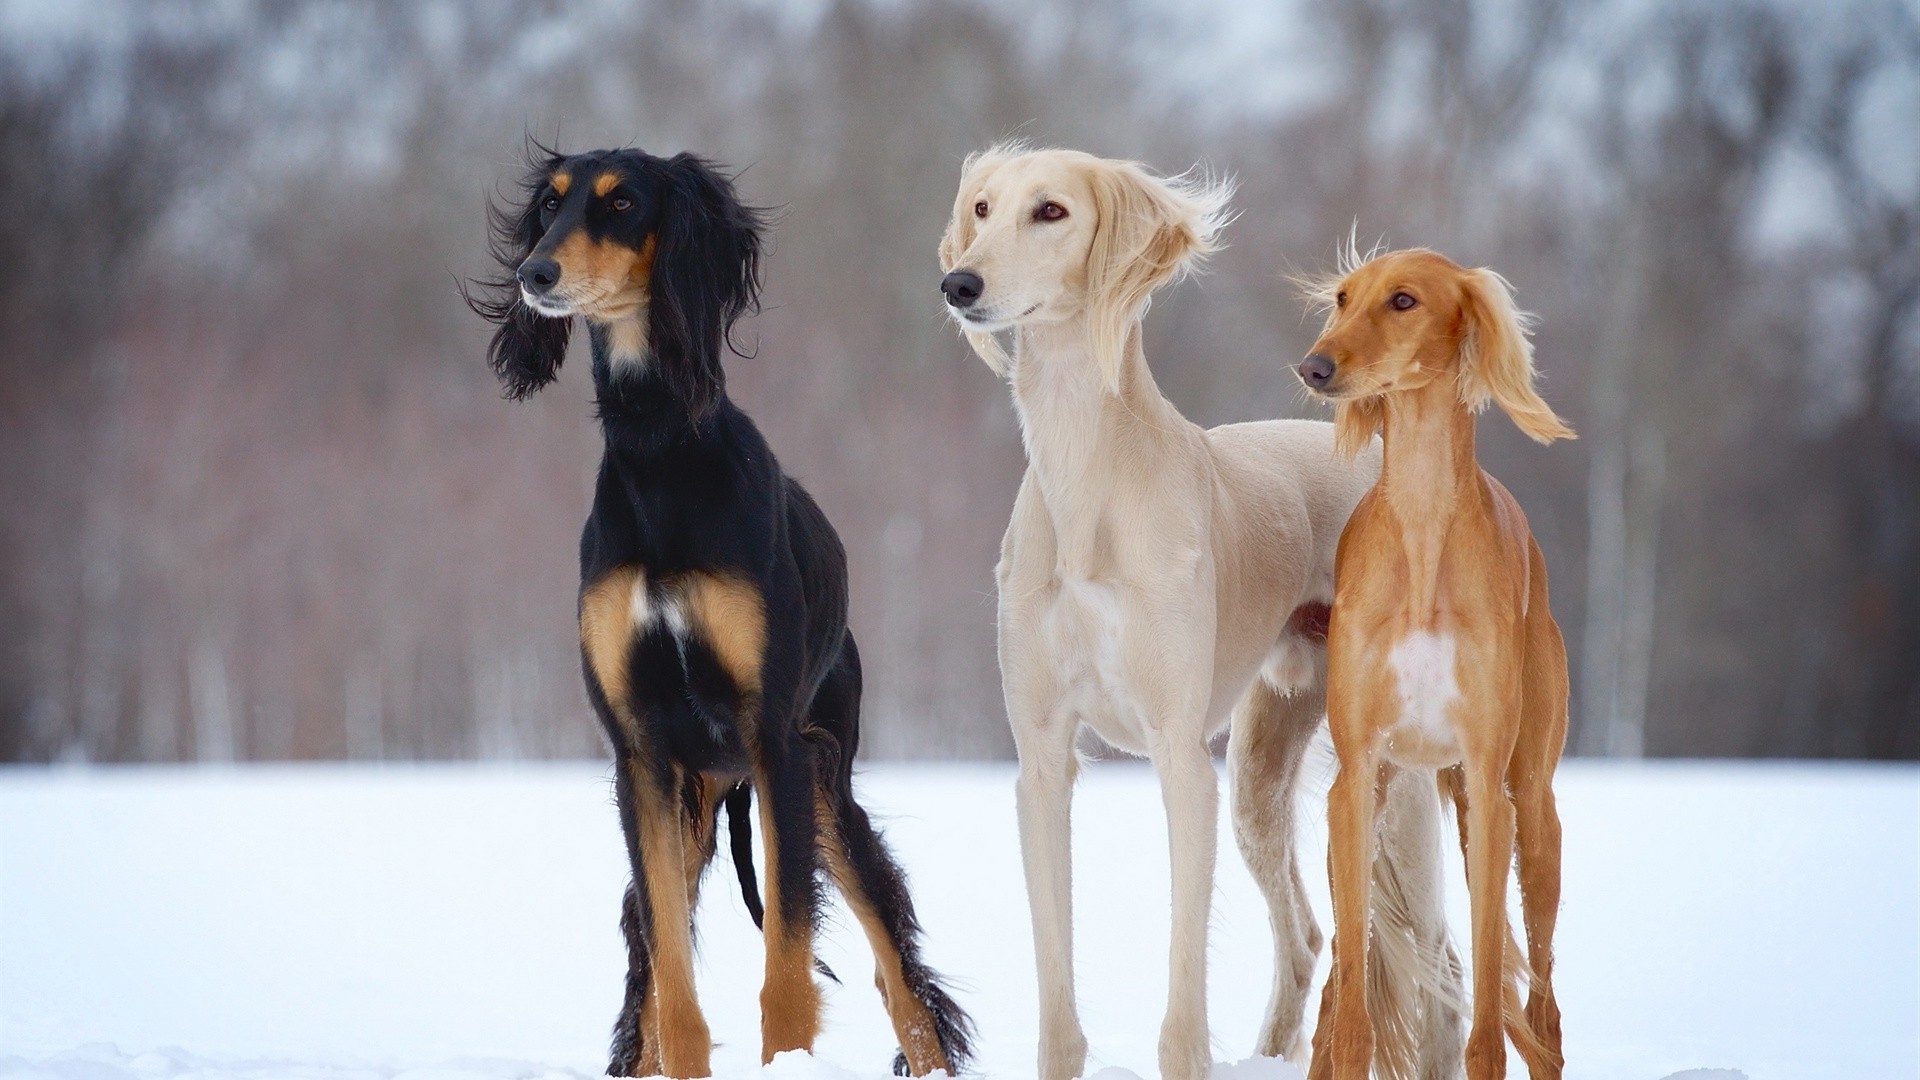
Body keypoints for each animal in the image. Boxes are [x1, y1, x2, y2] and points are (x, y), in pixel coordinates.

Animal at [466, 148, 975, 1076]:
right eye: (549, 208)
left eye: (621, 203)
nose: (534, 274)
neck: (661, 448)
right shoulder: (639, 755)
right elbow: (670, 981)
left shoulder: (775, 739)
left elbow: (789, 969)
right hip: (699, 800)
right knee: (645, 975)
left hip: (824, 785)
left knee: (903, 984)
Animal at [936, 147, 1459, 1076]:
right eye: (984, 208)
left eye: (1051, 211)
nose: (960, 284)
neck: (1089, 478)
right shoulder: (1041, 757)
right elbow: (1056, 985)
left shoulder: (1180, 756)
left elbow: (1184, 986)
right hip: (1261, 772)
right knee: (1306, 938)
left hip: (1391, 782)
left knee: (1435, 968)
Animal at [1290, 245, 1574, 1076]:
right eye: (1343, 297)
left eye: (1404, 300)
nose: (1314, 367)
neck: (1420, 528)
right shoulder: (1355, 782)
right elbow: (1351, 1008)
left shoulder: (1486, 780)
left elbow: (1487, 1018)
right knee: (1336, 989)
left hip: (1528, 815)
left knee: (1543, 1007)